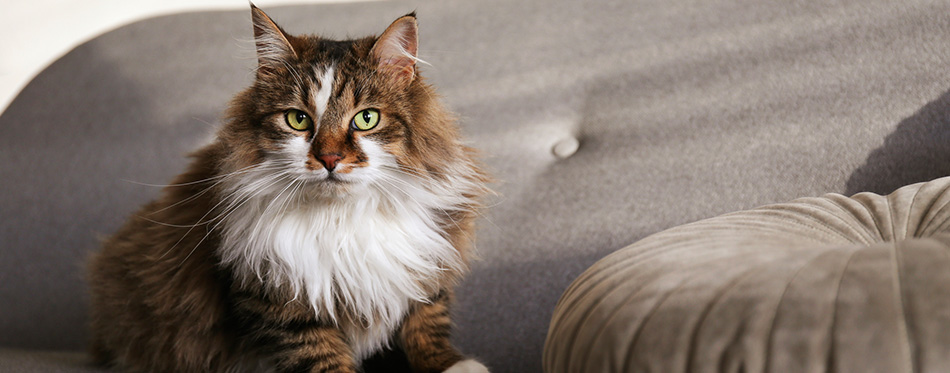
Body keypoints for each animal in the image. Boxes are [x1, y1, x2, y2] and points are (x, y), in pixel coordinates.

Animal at [86, 5, 494, 372]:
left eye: (366, 119)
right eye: (298, 120)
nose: (329, 158)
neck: (341, 220)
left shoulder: (428, 261)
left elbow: (427, 322)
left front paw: (452, 364)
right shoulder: (277, 301)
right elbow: (321, 356)